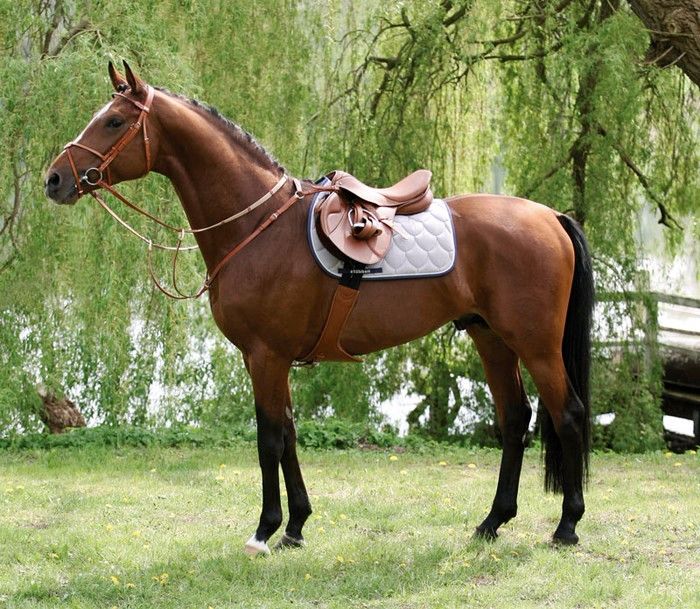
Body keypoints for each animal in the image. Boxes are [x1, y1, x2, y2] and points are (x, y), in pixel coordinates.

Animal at [45, 61, 594, 554]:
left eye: (115, 121)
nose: (54, 179)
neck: (259, 226)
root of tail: (550, 216)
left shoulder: (265, 356)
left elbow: (269, 439)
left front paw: (264, 531)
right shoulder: (270, 359)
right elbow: (288, 434)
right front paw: (295, 527)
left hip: (536, 345)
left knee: (567, 415)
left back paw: (566, 527)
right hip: (491, 337)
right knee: (514, 420)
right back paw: (491, 523)